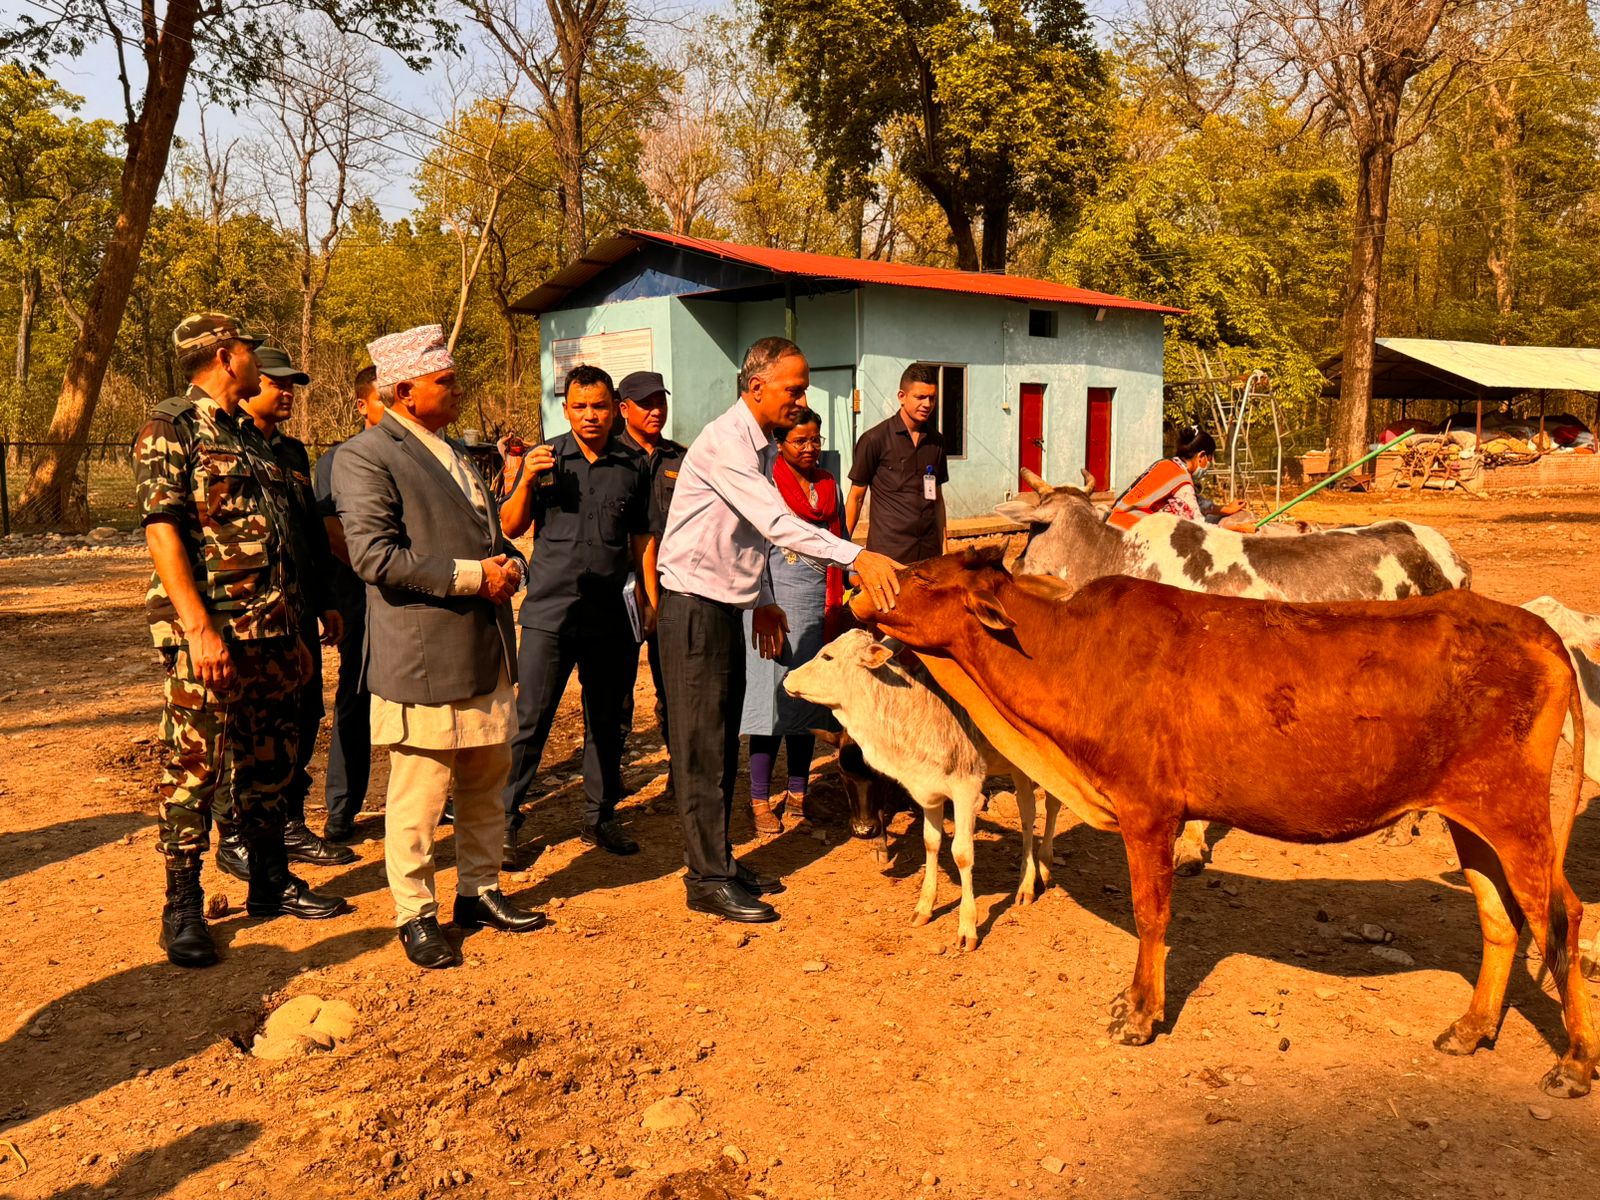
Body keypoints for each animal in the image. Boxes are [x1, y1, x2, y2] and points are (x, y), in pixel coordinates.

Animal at [784, 630, 1062, 947]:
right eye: (842, 775)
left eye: (827, 656)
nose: (788, 678)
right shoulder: (928, 789)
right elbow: (931, 841)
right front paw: (924, 908)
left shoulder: (967, 787)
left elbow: (962, 853)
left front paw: (967, 928)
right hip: (1018, 767)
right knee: (1027, 812)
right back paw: (1028, 881)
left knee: (1050, 806)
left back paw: (1042, 868)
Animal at [851, 553, 1587, 1100]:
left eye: (923, 576)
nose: (860, 585)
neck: (1071, 653)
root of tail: (1534, 629)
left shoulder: (1148, 811)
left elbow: (1151, 916)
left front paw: (1140, 1015)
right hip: (1472, 818)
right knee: (1501, 919)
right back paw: (1471, 1029)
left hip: (1516, 812)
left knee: (1561, 915)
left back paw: (1575, 1062)